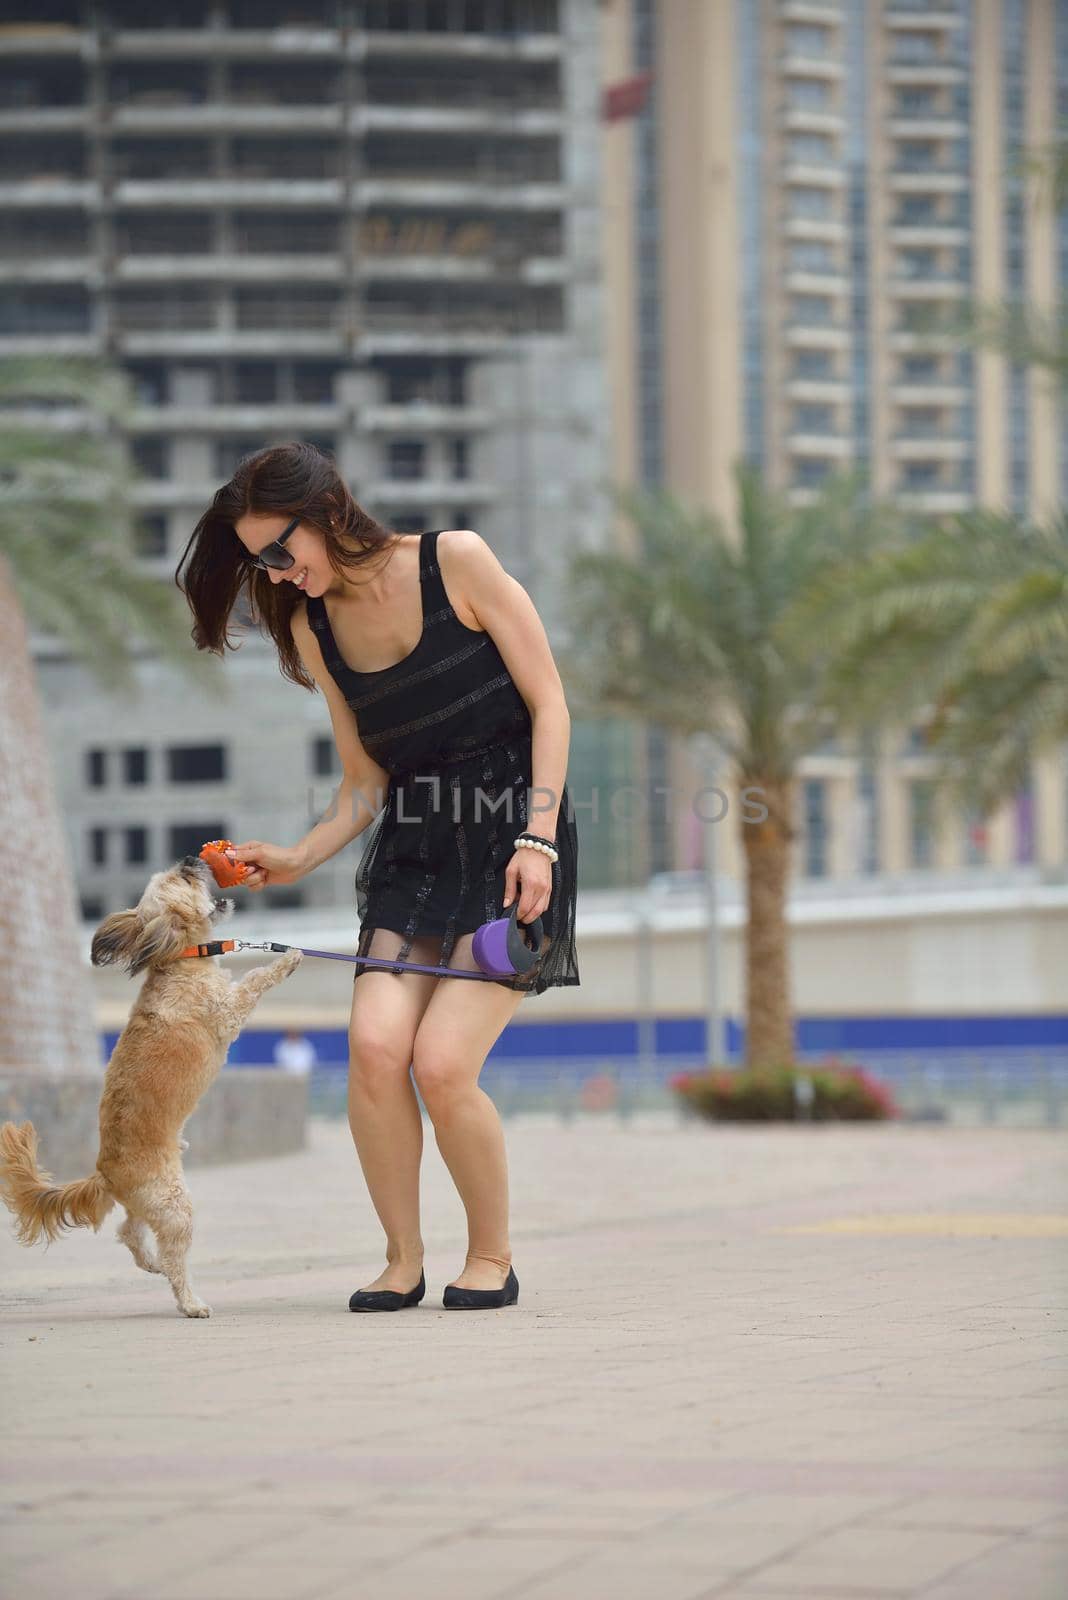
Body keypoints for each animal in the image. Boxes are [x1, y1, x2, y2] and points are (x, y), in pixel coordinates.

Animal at [1, 857, 300, 1318]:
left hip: (151, 1204)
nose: (190, 860)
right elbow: (252, 981)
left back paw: (152, 1263)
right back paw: (190, 1302)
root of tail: (105, 1173)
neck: (180, 959)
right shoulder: (226, 1012)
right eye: (181, 879)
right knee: (173, 1256)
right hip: (174, 1204)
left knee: (128, 1232)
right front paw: (287, 961)